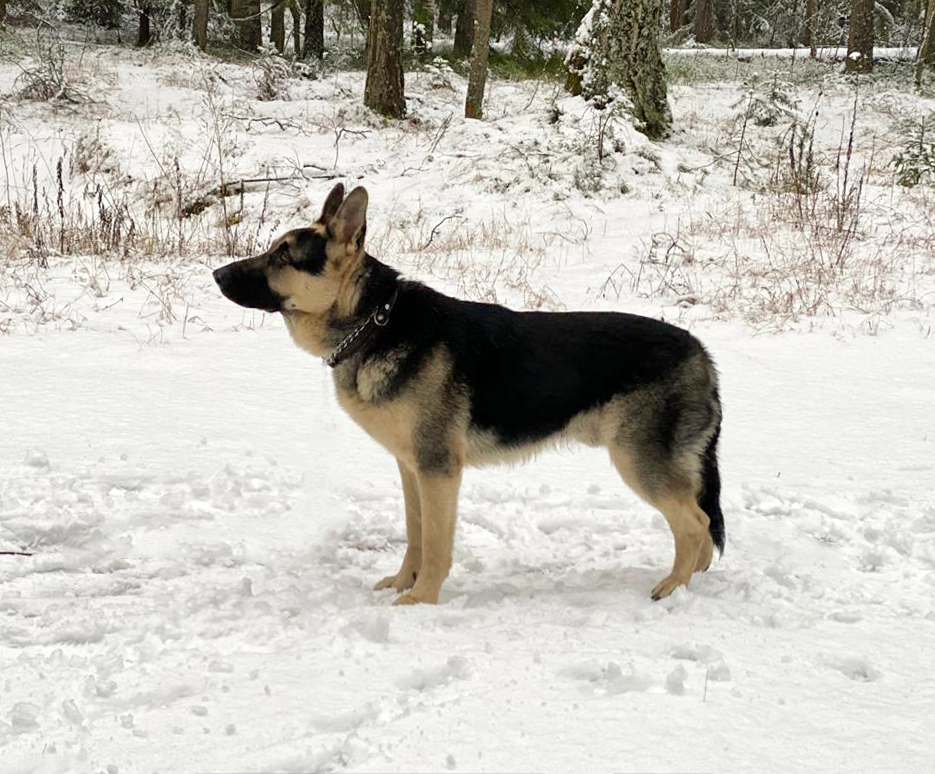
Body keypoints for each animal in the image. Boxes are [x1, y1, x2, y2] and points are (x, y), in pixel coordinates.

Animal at [216, 186, 728, 608]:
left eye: (283, 255)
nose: (217, 273)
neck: (374, 322)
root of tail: (702, 354)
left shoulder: (439, 470)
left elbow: (437, 544)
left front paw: (420, 601)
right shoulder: (412, 469)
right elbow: (415, 535)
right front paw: (403, 583)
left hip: (638, 462)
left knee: (695, 523)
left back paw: (673, 589)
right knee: (700, 524)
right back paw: (692, 579)